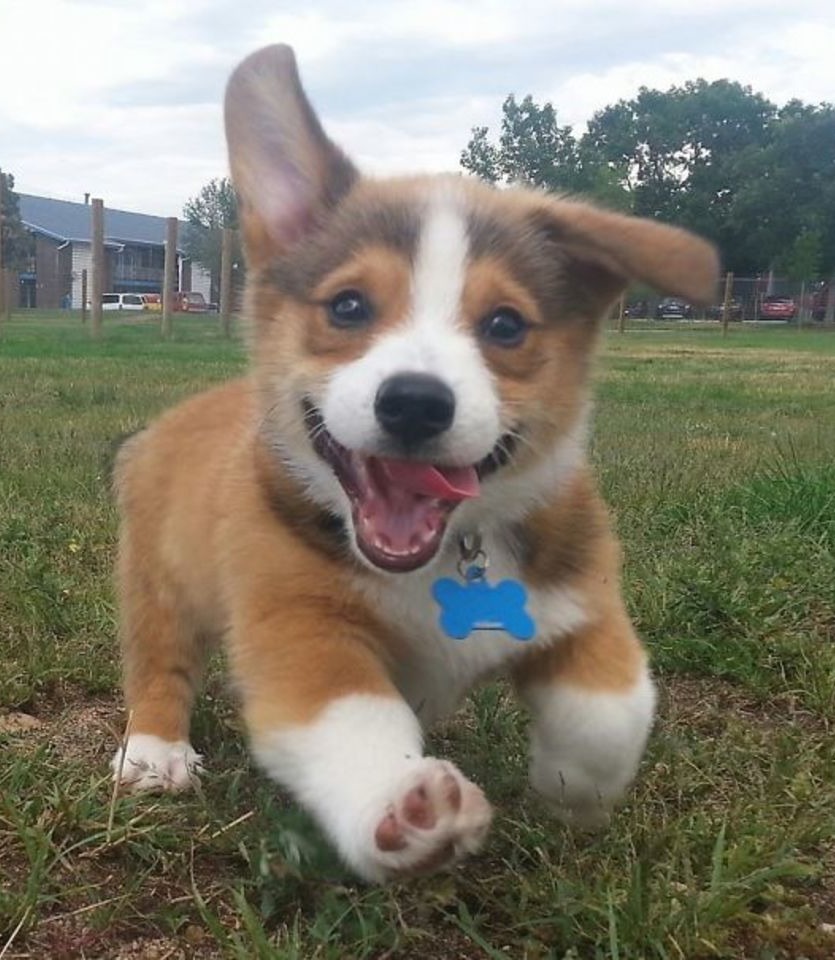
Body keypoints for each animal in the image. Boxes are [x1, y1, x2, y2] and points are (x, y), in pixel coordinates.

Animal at [112, 47, 720, 884]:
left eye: (505, 325)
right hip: (159, 582)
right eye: (347, 307)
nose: (414, 403)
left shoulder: (585, 600)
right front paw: (401, 804)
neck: (446, 557)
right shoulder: (300, 631)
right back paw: (155, 753)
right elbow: (354, 720)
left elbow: (611, 710)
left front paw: (571, 790)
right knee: (158, 662)